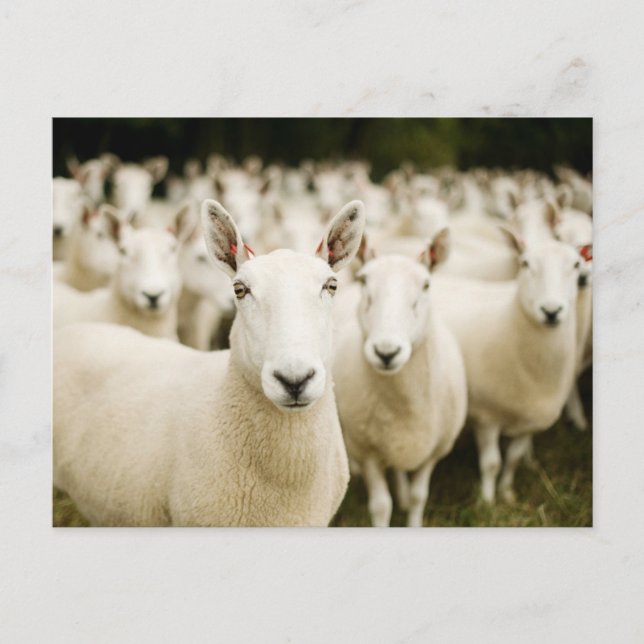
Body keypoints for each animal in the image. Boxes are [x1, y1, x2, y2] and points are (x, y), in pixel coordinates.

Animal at [332, 233, 467, 527]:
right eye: (364, 281)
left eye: (426, 285)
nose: (386, 352)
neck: (405, 403)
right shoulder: (367, 451)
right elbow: (381, 505)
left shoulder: (434, 450)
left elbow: (419, 497)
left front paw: (411, 512)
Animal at [430, 238, 583, 504]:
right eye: (526, 264)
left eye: (576, 265)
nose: (551, 311)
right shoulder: (486, 416)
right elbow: (492, 463)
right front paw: (487, 501)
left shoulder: (530, 419)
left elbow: (513, 458)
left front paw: (507, 493)